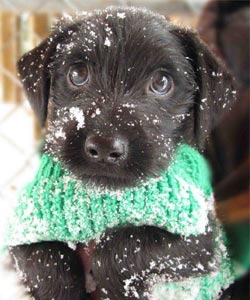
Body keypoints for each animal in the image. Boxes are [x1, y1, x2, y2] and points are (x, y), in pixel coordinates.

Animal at [9, 6, 235, 300]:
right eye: (77, 74)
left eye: (161, 82)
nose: (105, 146)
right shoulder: (25, 227)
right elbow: (43, 257)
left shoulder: (200, 236)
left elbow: (121, 246)